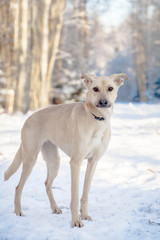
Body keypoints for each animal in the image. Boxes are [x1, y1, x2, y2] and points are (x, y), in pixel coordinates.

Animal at [4, 72, 129, 227]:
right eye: (95, 89)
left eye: (110, 88)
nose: (103, 102)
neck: (97, 118)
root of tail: (28, 118)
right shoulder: (75, 162)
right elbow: (74, 197)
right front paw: (76, 221)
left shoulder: (93, 162)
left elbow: (85, 194)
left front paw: (85, 215)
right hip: (30, 159)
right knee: (18, 187)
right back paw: (18, 212)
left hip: (54, 161)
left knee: (47, 184)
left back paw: (55, 208)